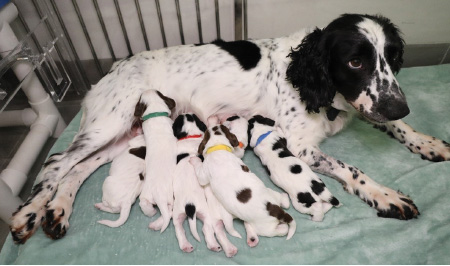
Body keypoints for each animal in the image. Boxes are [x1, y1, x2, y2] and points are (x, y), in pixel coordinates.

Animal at [134, 88, 177, 232]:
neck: (155, 114)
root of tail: (159, 195)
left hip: (145, 196)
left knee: (146, 206)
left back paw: (152, 216)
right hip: (170, 197)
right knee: (169, 212)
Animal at [189, 117, 296, 247]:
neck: (219, 147)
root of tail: (277, 212)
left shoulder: (204, 173)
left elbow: (200, 174)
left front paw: (194, 160)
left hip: (265, 229)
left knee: (281, 230)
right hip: (273, 194)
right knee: (284, 203)